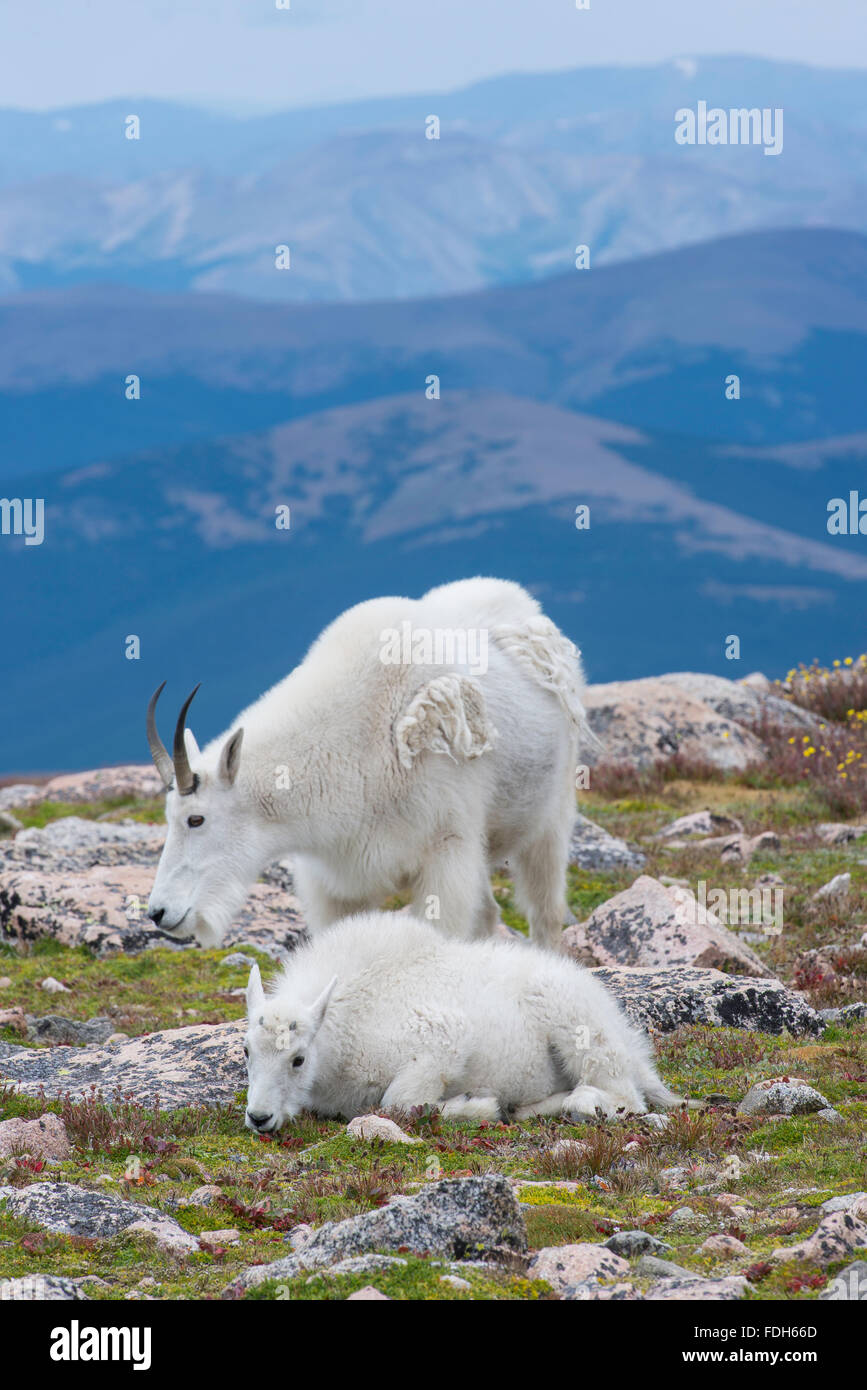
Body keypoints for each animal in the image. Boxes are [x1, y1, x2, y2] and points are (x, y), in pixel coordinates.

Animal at [147, 572, 589, 945]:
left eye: (196, 819)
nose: (158, 913)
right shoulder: (334, 883)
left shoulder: (445, 853)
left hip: (551, 814)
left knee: (544, 911)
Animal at [241, 911, 678, 1128]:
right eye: (246, 1052)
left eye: (297, 1058)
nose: (259, 1118)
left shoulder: (443, 1038)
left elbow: (400, 1102)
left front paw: (476, 1106)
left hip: (580, 1028)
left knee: (625, 1098)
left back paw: (578, 1101)